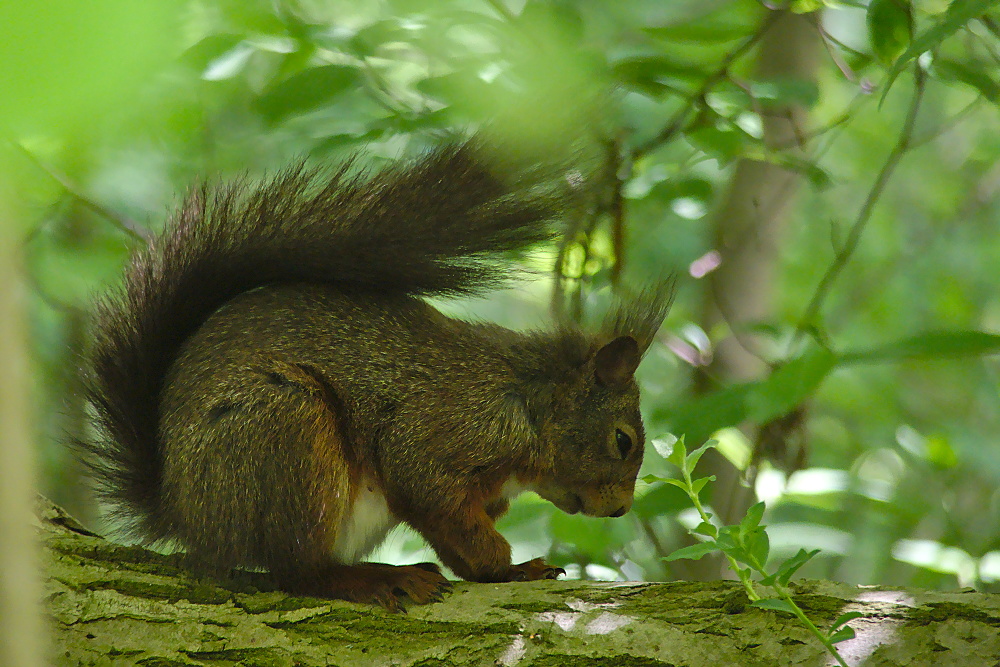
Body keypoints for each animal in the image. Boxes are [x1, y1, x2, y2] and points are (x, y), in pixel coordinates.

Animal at [81, 139, 674, 611]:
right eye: (623, 441)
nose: (620, 509)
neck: (525, 403)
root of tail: (182, 509)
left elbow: (455, 536)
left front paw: (496, 570)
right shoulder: (441, 436)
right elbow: (436, 499)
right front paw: (510, 568)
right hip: (284, 429)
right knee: (298, 571)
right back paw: (372, 580)